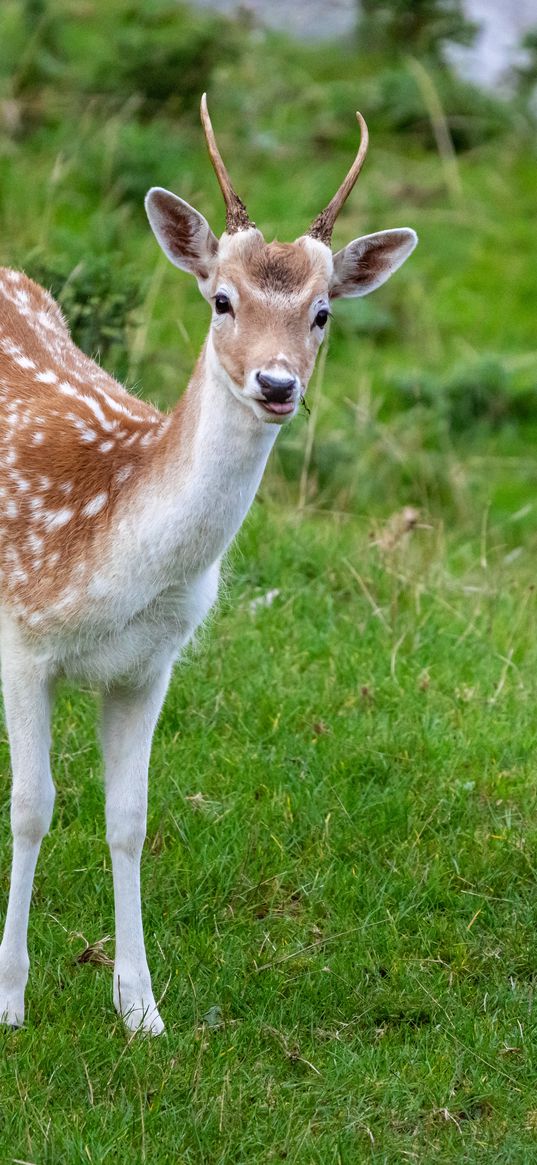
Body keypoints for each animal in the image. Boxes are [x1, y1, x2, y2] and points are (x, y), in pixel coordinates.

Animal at [0, 95, 417, 1034]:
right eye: (221, 299)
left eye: (322, 312)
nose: (276, 383)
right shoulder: (24, 638)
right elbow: (33, 807)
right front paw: (8, 996)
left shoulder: (149, 665)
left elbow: (127, 816)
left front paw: (140, 1007)